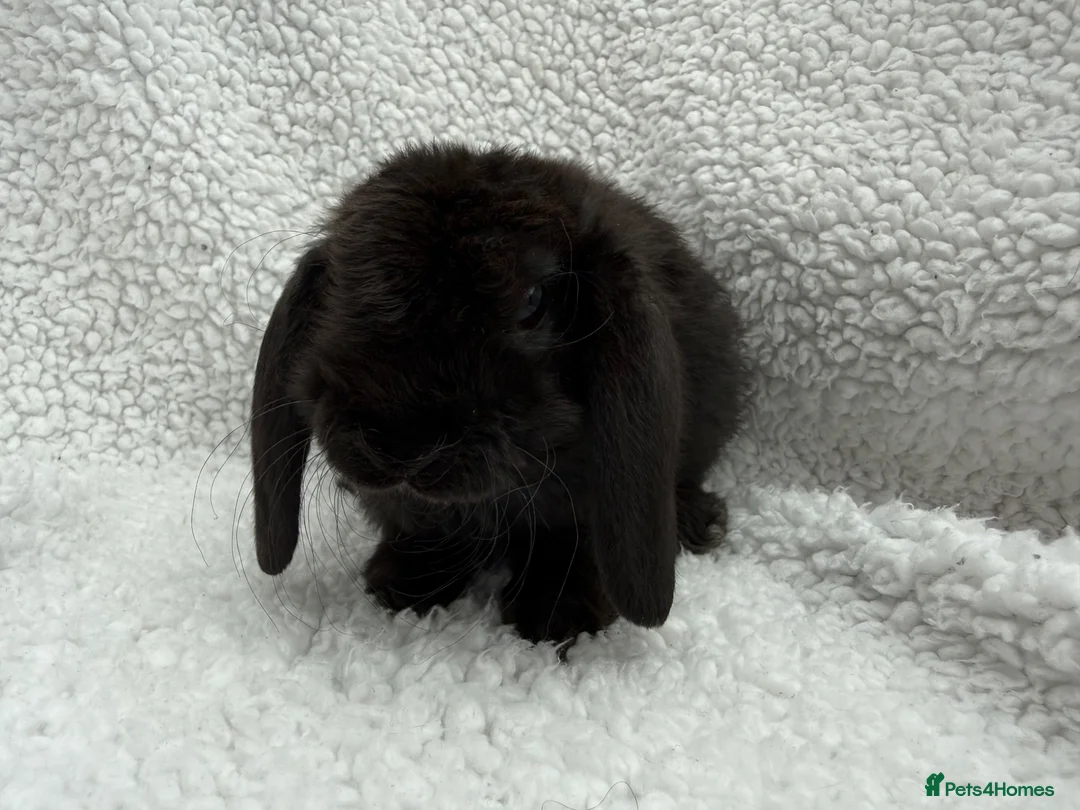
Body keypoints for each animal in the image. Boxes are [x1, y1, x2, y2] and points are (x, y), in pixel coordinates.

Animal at [249, 141, 749, 649]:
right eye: (341, 289)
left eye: (532, 302)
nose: (399, 444)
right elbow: (424, 529)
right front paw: (403, 586)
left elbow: (569, 541)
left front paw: (557, 616)